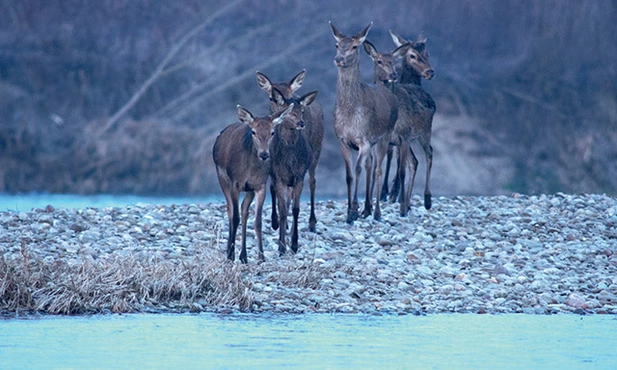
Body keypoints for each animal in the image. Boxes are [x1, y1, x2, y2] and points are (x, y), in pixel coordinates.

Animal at [212, 102, 294, 262]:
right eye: (254, 132)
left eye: (272, 132)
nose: (264, 154)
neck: (249, 170)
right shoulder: (234, 184)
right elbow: (235, 217)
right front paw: (230, 255)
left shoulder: (259, 186)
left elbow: (258, 222)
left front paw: (261, 256)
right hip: (222, 178)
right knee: (230, 211)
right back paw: (230, 251)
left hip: (248, 189)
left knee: (244, 211)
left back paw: (243, 256)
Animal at [255, 69, 324, 231]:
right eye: (271, 97)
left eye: (291, 93)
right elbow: (273, 187)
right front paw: (275, 221)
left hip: (316, 150)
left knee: (312, 181)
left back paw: (312, 222)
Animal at [270, 89, 318, 256]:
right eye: (288, 112)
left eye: (302, 111)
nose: (301, 123)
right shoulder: (279, 177)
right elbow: (283, 210)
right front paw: (281, 246)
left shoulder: (299, 176)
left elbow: (295, 209)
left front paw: (294, 244)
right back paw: (276, 224)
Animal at [330, 22, 398, 223]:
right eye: (337, 45)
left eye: (354, 46)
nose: (338, 58)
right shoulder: (342, 140)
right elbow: (349, 175)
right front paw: (349, 212)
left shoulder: (364, 140)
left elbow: (358, 168)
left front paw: (353, 209)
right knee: (371, 165)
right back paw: (367, 209)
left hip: (385, 136)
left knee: (377, 169)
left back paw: (377, 212)